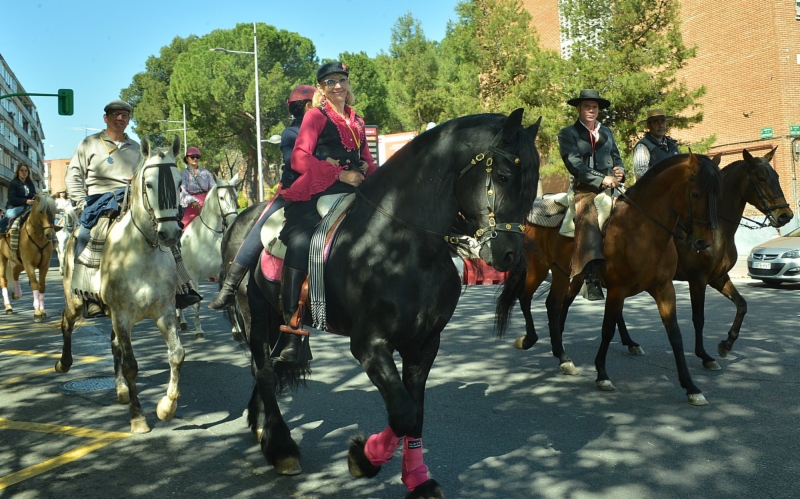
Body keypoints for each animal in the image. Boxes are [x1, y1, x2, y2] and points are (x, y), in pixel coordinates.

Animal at [0, 193, 57, 322]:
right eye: (41, 211)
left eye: (54, 211)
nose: (50, 234)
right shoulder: (29, 264)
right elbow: (35, 284)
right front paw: (37, 312)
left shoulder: (45, 265)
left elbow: (42, 286)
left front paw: (42, 310)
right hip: (3, 259)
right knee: (3, 280)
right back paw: (8, 306)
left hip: (20, 262)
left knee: (15, 272)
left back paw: (17, 294)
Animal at [58, 136, 186, 434]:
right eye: (148, 184)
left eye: (178, 183)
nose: (170, 233)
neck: (140, 252)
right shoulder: (122, 315)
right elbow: (131, 365)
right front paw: (138, 418)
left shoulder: (164, 312)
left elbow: (176, 354)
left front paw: (166, 408)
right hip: (76, 301)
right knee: (66, 322)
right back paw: (64, 363)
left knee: (113, 343)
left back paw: (121, 389)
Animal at [180, 175, 242, 340]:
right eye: (221, 197)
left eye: (236, 196)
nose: (233, 221)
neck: (206, 237)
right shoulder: (193, 277)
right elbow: (196, 304)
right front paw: (199, 331)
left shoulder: (223, 272)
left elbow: (229, 301)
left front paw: (237, 331)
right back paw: (181, 321)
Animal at [222, 110, 540, 499]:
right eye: (505, 176)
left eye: (534, 182)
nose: (509, 254)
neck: (400, 243)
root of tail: (243, 218)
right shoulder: (370, 345)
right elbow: (403, 412)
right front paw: (364, 458)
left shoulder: (424, 344)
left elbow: (414, 414)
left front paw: (417, 478)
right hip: (252, 310)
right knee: (264, 370)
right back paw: (281, 447)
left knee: (262, 366)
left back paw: (260, 424)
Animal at [496, 152, 720, 406]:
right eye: (695, 194)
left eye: (717, 194)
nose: (704, 242)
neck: (642, 230)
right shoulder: (617, 290)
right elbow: (607, 330)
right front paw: (602, 374)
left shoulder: (664, 289)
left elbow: (675, 335)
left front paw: (691, 386)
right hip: (538, 267)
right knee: (524, 298)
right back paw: (529, 340)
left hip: (561, 273)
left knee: (553, 305)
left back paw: (563, 357)